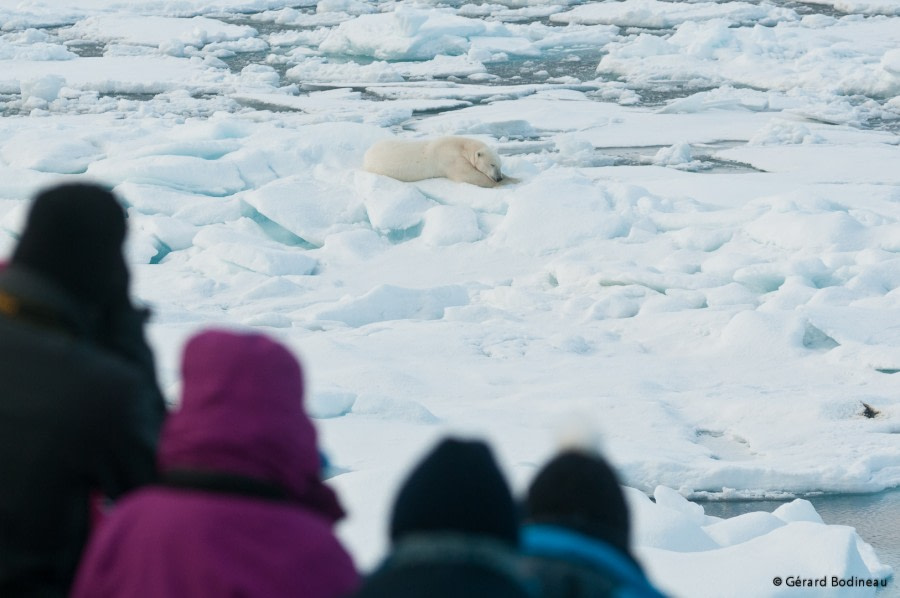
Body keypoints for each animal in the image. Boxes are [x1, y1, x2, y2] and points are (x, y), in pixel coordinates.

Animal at [362, 137, 502, 189]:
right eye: (492, 164)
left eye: (500, 165)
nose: (499, 178)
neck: (461, 146)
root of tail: (366, 154)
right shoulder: (450, 158)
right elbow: (468, 176)